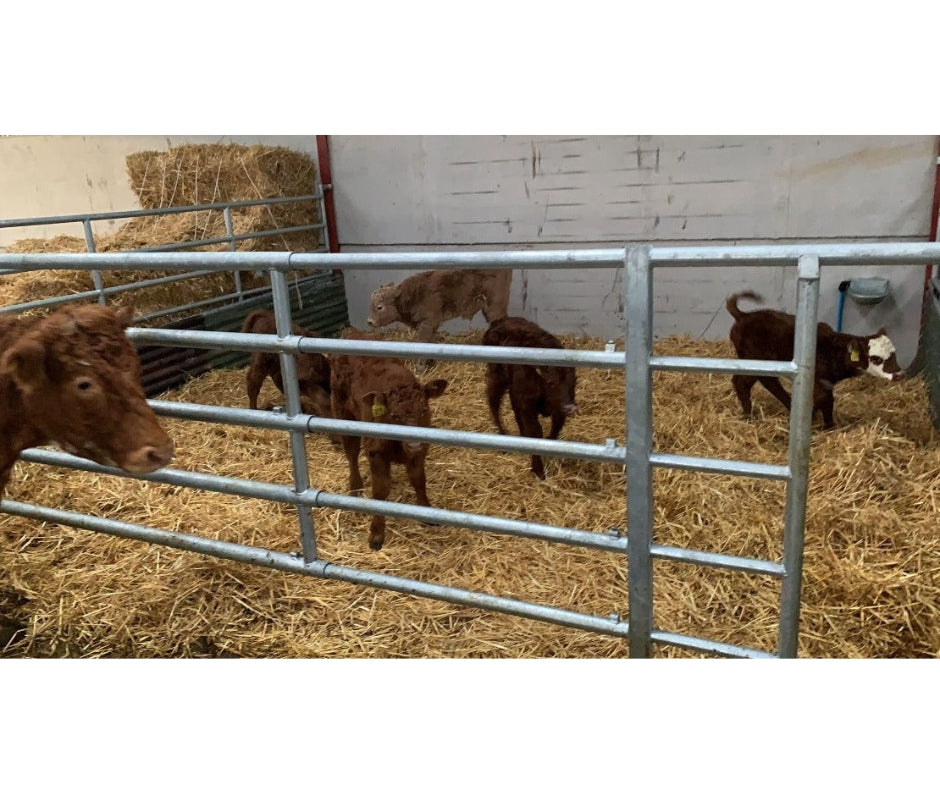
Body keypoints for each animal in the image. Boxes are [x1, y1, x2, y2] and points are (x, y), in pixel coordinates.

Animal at [330, 329, 448, 550]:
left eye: (424, 410)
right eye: (394, 416)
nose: (414, 443)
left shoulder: (421, 452)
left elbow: (419, 480)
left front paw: (426, 511)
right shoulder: (375, 452)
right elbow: (381, 489)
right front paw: (376, 533)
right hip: (343, 413)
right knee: (351, 453)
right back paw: (355, 488)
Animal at [482, 316, 578, 479]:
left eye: (574, 382)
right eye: (551, 382)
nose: (569, 407)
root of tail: (500, 321)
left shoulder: (557, 409)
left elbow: (555, 429)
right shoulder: (527, 406)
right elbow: (535, 433)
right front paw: (538, 469)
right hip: (497, 378)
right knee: (493, 403)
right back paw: (503, 434)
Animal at [726, 290, 904, 429]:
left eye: (895, 353)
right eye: (876, 359)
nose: (898, 374)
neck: (832, 350)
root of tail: (744, 316)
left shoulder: (826, 383)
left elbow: (828, 401)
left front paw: (829, 426)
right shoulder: (818, 381)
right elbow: (820, 400)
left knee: (749, 381)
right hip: (757, 361)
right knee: (753, 382)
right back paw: (751, 416)